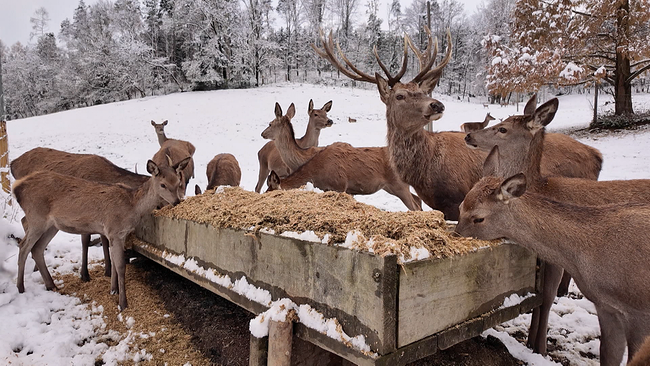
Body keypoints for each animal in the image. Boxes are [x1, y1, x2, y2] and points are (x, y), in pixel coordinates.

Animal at [13, 156, 189, 310]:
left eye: (178, 182)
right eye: (163, 184)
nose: (177, 202)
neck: (131, 208)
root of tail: (16, 187)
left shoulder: (117, 235)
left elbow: (114, 262)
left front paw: (113, 290)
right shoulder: (115, 231)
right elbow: (120, 266)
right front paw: (123, 303)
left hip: (52, 225)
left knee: (37, 249)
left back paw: (51, 285)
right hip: (37, 218)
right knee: (23, 247)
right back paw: (21, 287)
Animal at [260, 103, 422, 212]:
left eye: (270, 123)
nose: (262, 133)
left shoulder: (341, 186)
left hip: (399, 184)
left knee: (415, 205)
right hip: (390, 187)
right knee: (418, 200)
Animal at [312, 27, 600, 220]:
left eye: (423, 91)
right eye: (400, 95)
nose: (436, 104)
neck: (426, 170)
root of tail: (597, 156)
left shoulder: (457, 200)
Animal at [454, 172, 648, 366]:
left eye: (479, 218)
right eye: (460, 207)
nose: (456, 235)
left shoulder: (639, 313)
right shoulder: (606, 307)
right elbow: (608, 355)